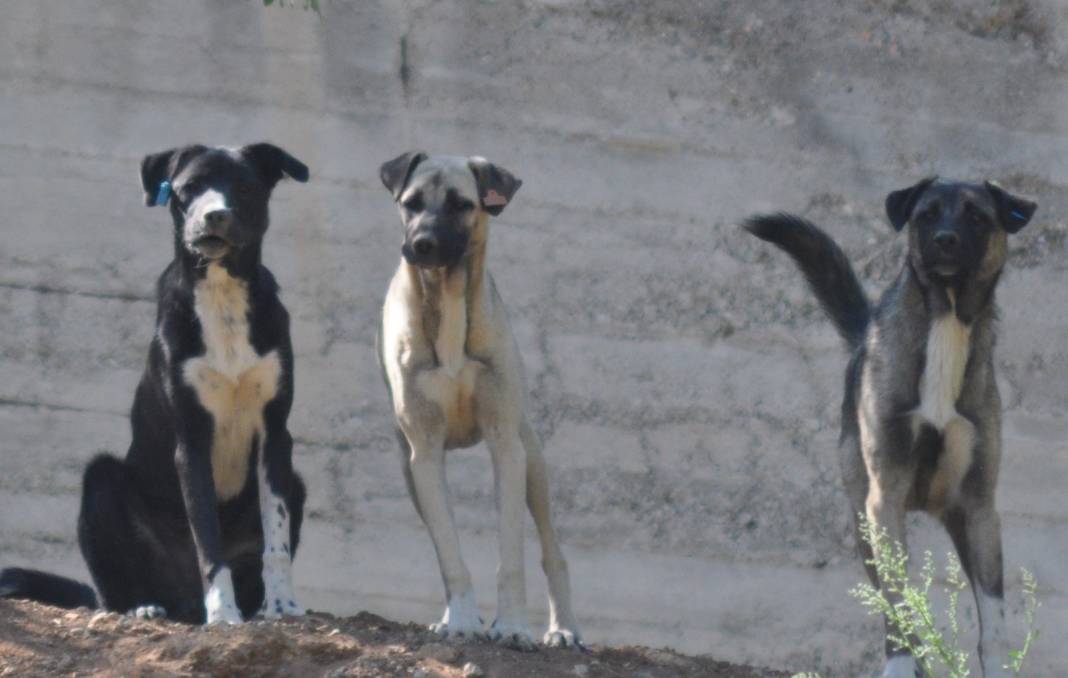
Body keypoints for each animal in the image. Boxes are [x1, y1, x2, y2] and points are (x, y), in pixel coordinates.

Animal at [4, 143, 311, 627]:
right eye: (190, 188)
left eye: (244, 187)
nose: (214, 215)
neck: (222, 295)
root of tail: (183, 602)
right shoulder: (192, 439)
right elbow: (208, 540)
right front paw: (222, 614)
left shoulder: (276, 434)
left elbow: (275, 538)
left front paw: (281, 606)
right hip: (101, 483)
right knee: (113, 587)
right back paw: (144, 606)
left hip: (296, 484)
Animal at [373, 151, 580, 649]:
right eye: (410, 202)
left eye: (461, 204)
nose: (422, 244)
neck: (446, 301)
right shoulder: (425, 453)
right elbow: (449, 550)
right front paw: (463, 619)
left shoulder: (506, 445)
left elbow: (512, 555)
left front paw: (513, 626)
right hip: (409, 471)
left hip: (533, 461)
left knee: (552, 550)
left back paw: (563, 628)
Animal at [743, 177, 1033, 674]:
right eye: (927, 214)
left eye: (977, 217)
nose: (945, 241)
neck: (945, 323)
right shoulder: (886, 498)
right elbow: (899, 602)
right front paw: (900, 664)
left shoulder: (980, 508)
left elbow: (993, 617)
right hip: (864, 519)